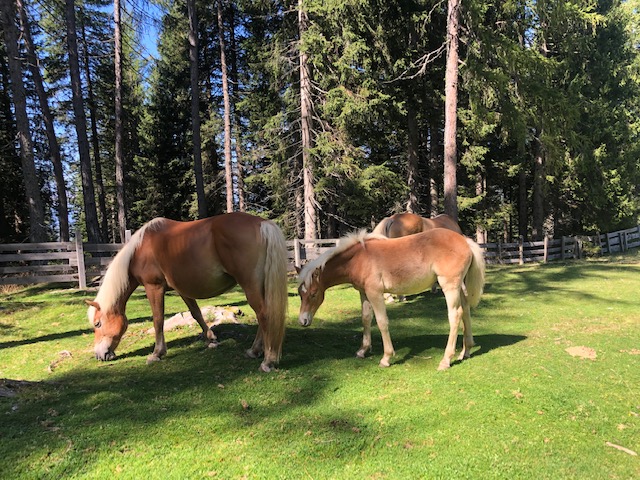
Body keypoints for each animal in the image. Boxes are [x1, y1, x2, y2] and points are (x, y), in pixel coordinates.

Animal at [85, 212, 288, 374]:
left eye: (97, 323)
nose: (99, 355)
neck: (139, 249)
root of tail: (262, 223)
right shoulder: (182, 289)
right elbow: (196, 313)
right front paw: (211, 339)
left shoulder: (154, 287)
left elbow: (158, 319)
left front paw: (157, 353)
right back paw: (255, 351)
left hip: (250, 285)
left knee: (264, 314)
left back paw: (267, 360)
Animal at [296, 227, 484, 370]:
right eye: (300, 293)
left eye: (313, 293)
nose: (303, 321)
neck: (359, 258)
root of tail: (465, 241)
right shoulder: (363, 293)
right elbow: (366, 319)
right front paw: (362, 351)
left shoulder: (375, 293)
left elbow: (381, 321)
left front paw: (386, 358)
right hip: (459, 286)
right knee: (466, 310)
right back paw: (465, 351)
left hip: (449, 286)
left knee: (455, 315)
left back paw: (446, 360)